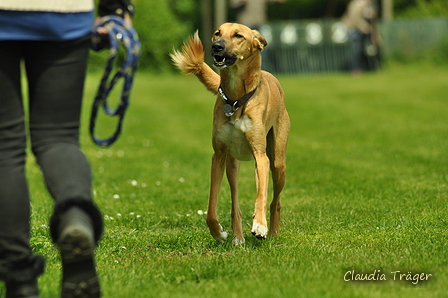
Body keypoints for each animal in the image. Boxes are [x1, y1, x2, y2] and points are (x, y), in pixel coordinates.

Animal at [172, 22, 290, 243]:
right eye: (217, 33)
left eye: (238, 36)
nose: (216, 46)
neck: (236, 100)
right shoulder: (218, 156)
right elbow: (211, 208)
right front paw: (219, 233)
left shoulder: (261, 156)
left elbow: (261, 196)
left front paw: (260, 226)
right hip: (232, 165)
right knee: (236, 204)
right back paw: (238, 238)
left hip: (277, 163)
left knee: (274, 201)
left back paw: (272, 232)